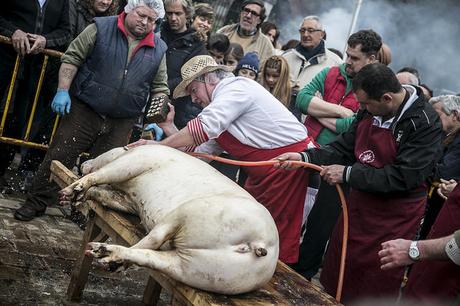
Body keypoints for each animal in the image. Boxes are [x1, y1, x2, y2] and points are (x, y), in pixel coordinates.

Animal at [59, 145, 278, 296]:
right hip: (203, 271)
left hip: (191, 212)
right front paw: (80, 195)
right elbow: (106, 195)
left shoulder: (136, 161)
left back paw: (102, 252)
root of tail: (261, 246)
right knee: (153, 257)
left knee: (155, 238)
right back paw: (110, 259)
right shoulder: (128, 201)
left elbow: (102, 175)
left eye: (106, 150)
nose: (83, 163)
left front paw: (74, 191)